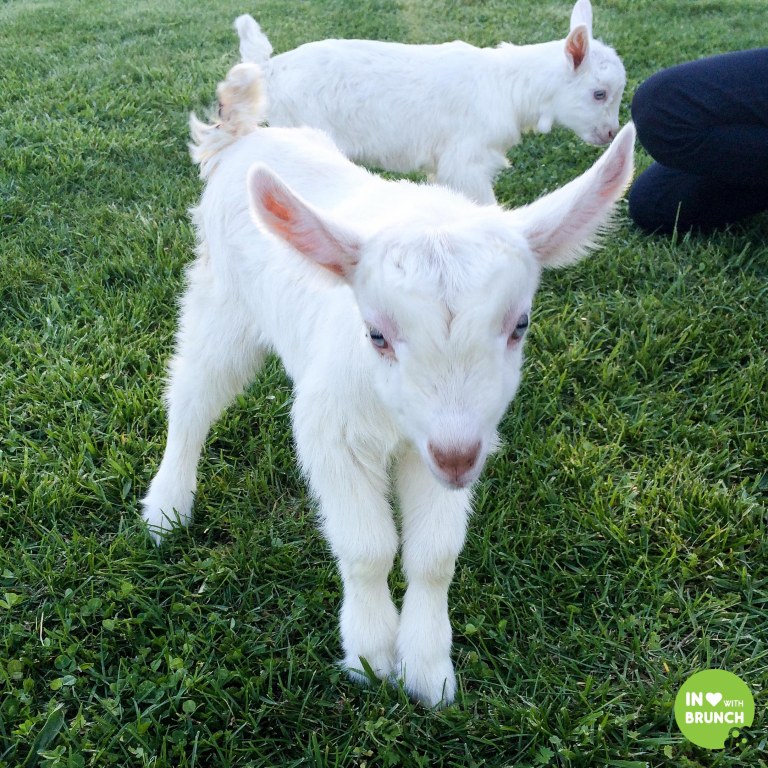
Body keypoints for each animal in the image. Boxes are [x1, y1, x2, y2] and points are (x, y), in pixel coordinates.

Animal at [141, 62, 635, 707]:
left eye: (520, 324)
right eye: (375, 333)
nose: (456, 457)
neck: (395, 420)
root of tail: (241, 135)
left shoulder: (447, 443)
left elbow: (434, 556)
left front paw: (427, 671)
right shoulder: (329, 430)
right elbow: (368, 547)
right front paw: (370, 657)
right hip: (222, 301)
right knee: (193, 395)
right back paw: (167, 507)